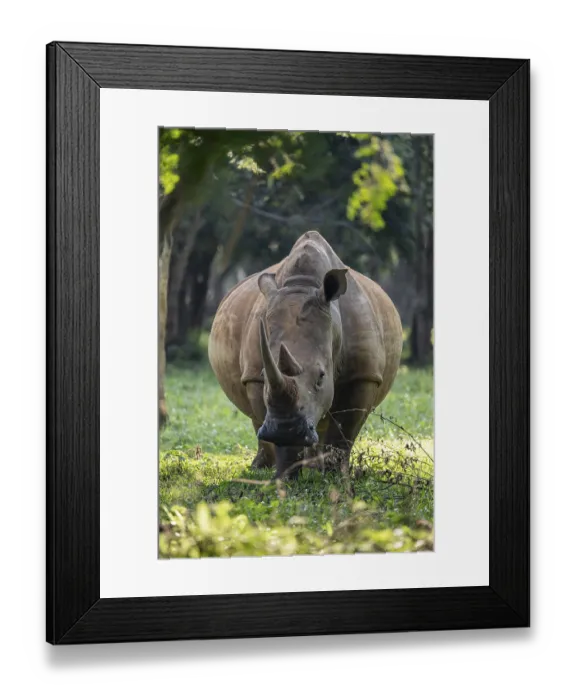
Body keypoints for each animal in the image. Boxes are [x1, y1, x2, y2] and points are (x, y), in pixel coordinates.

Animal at [208, 231, 403, 479]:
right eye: (263, 373)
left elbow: (344, 432)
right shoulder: (254, 376)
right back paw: (261, 467)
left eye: (321, 377)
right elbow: (267, 420)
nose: (286, 429)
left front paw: (335, 477)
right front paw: (284, 477)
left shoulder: (363, 374)